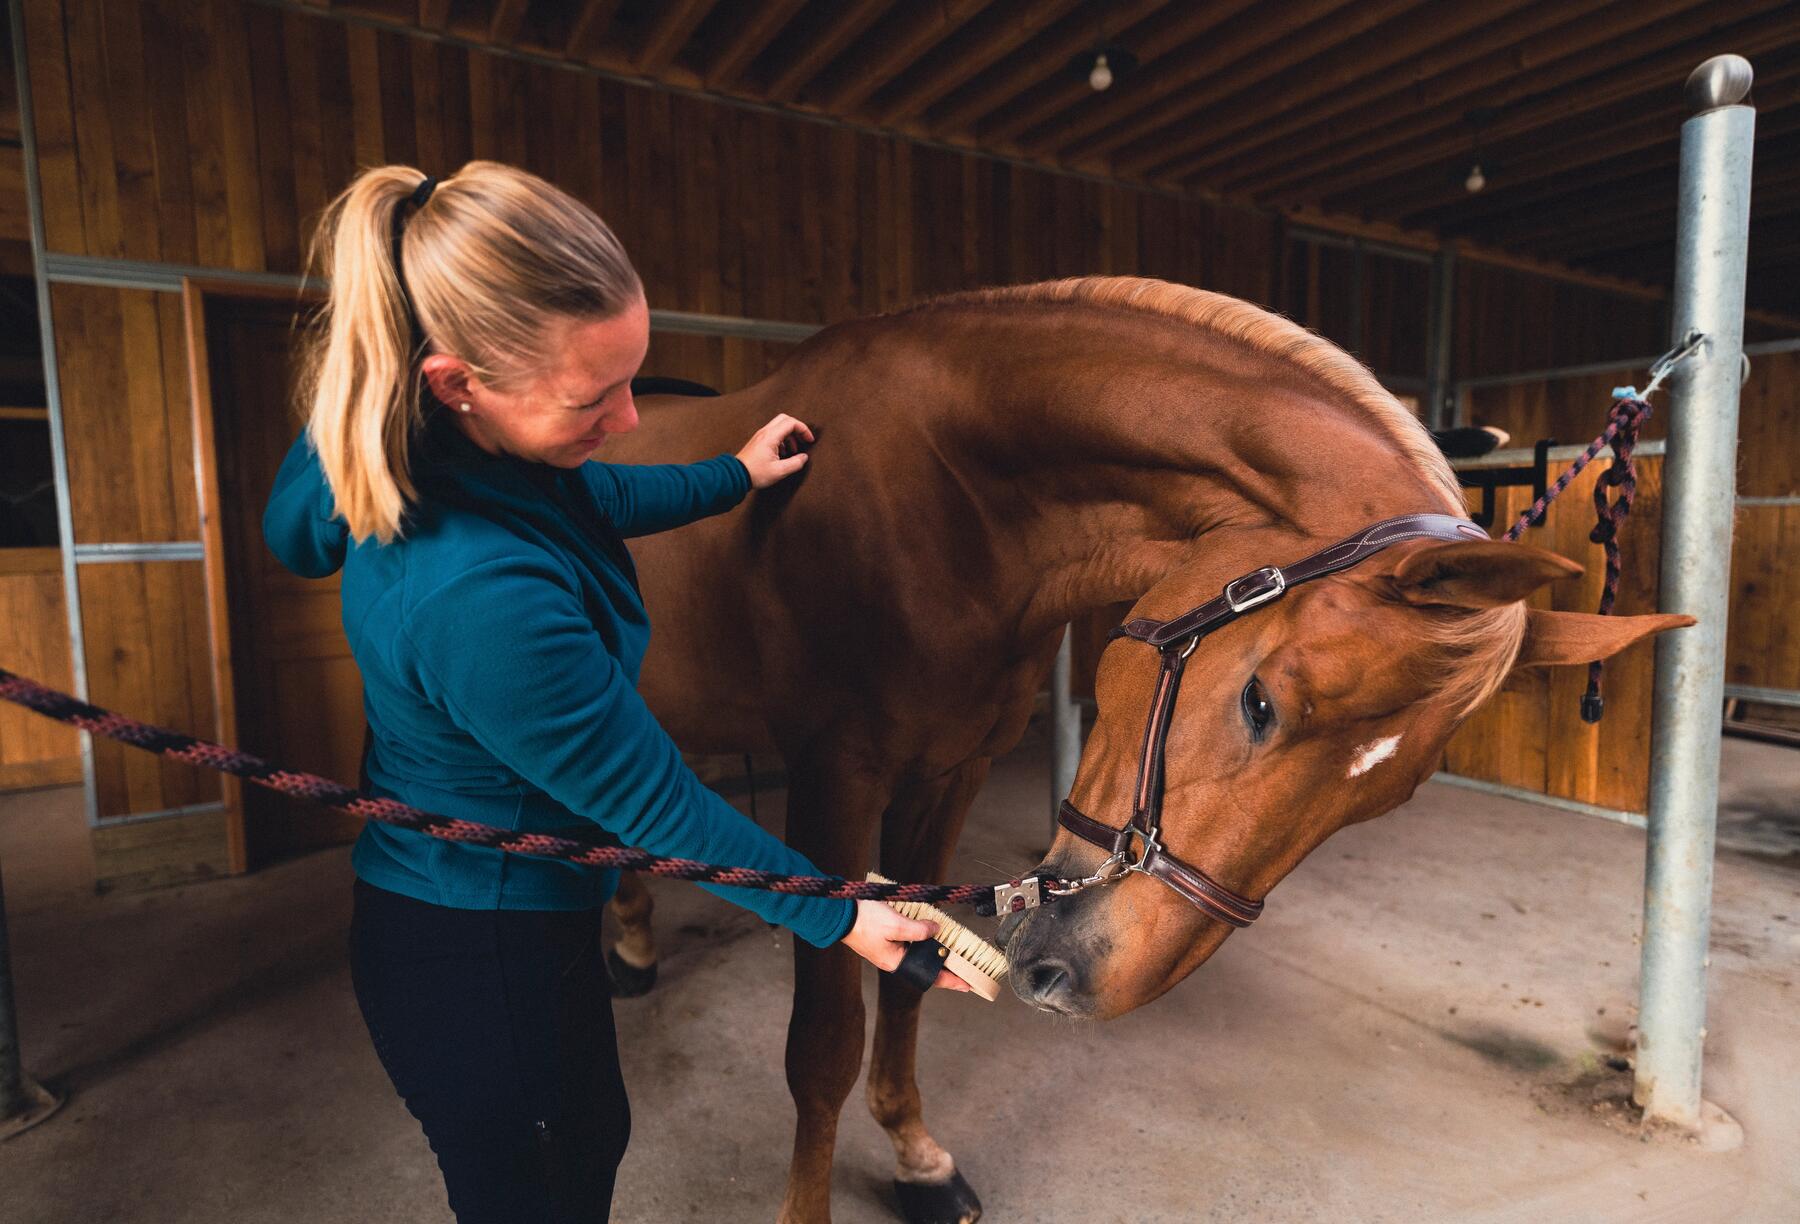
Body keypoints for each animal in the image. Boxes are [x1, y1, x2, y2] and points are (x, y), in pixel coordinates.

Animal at [608, 279, 1684, 1224]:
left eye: (1393, 797)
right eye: (1260, 703)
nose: (1072, 981)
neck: (944, 500)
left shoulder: (950, 771)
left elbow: (910, 979)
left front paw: (918, 1160)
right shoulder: (835, 782)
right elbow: (825, 1038)